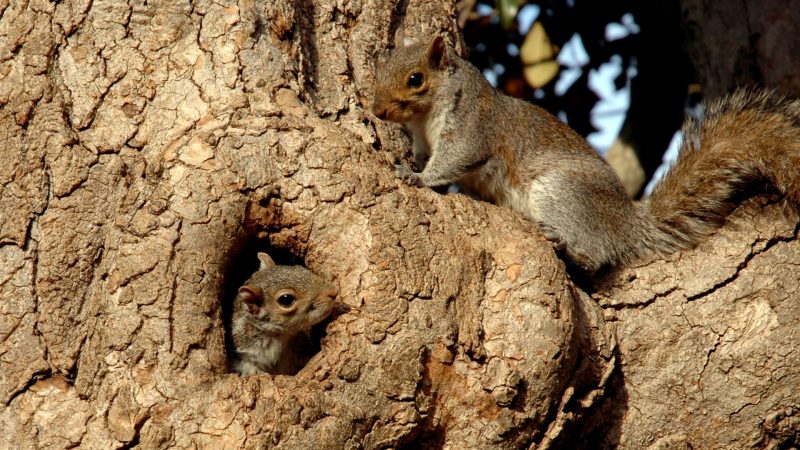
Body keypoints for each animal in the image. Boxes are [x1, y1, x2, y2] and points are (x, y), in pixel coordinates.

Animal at [372, 34, 800, 270]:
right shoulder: (423, 139)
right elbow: (423, 155)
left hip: (562, 192)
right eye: (378, 72)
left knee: (597, 255)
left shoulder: (474, 128)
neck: (426, 117)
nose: (377, 111)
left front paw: (417, 178)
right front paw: (408, 163)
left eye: (416, 79)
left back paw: (570, 250)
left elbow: (454, 160)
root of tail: (627, 223)